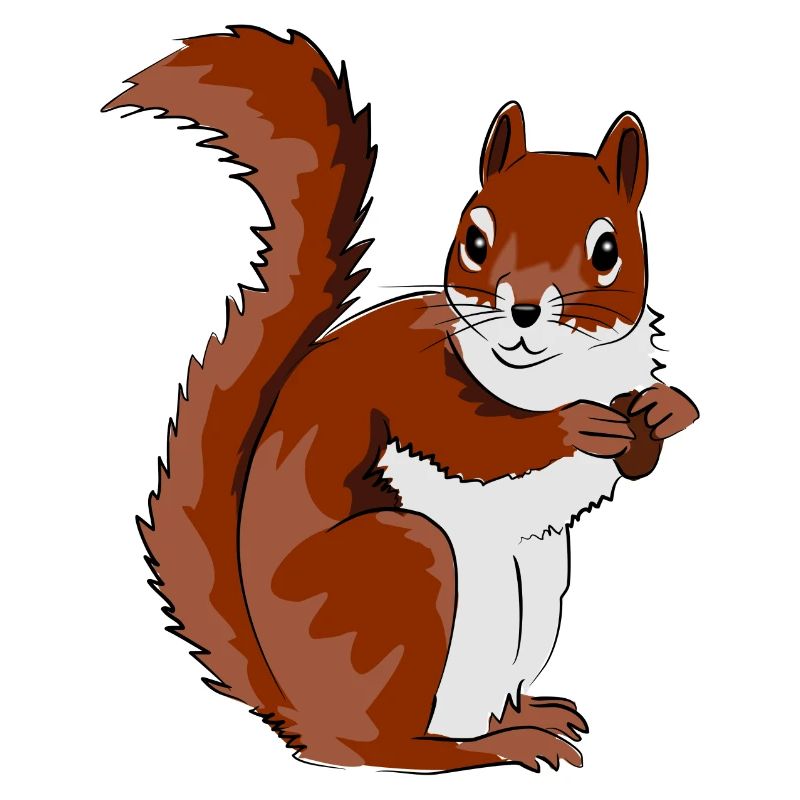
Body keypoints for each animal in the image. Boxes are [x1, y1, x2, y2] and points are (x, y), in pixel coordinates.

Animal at [104, 25, 699, 772]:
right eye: (475, 239)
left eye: (608, 249)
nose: (524, 311)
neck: (550, 374)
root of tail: (298, 713)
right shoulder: (414, 384)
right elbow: (479, 443)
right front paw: (573, 428)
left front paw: (665, 411)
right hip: (407, 573)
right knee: (387, 747)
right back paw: (487, 747)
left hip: (537, 591)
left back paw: (527, 716)